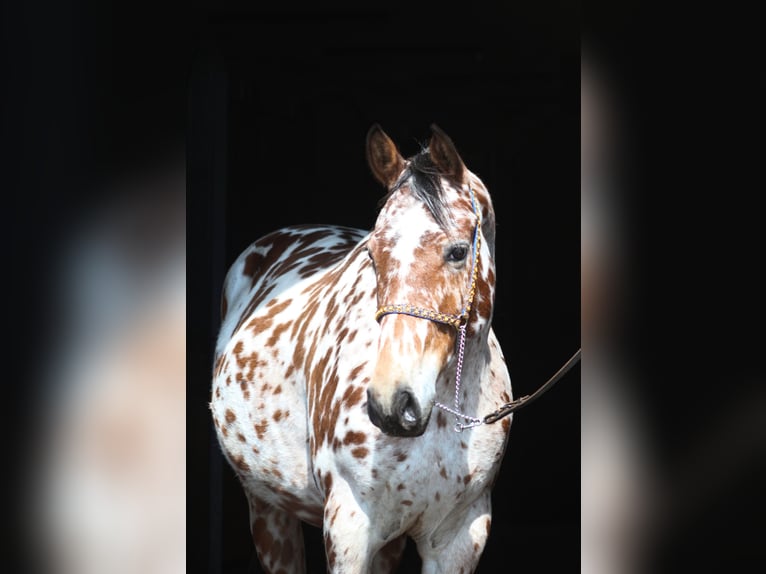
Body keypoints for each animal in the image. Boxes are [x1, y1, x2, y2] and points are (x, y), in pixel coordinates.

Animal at [210, 124, 516, 572]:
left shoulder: (460, 537)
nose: (393, 403)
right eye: (372, 253)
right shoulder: (349, 526)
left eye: (459, 251)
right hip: (268, 511)